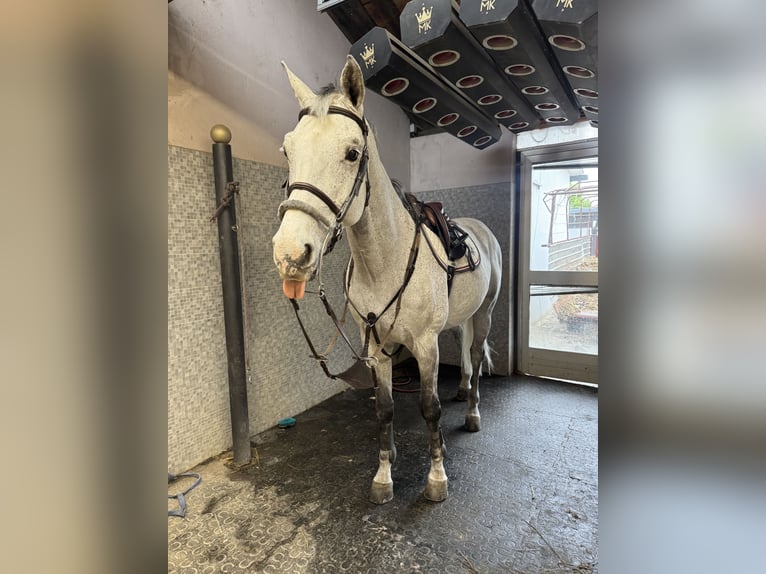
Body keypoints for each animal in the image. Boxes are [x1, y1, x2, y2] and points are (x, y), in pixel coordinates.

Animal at [272, 55, 502, 504]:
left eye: (351, 153)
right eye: (287, 150)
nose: (290, 254)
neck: (385, 263)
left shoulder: (425, 345)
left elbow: (429, 408)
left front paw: (436, 478)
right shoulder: (376, 346)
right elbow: (384, 408)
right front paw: (384, 473)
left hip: (484, 313)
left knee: (476, 351)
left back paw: (472, 412)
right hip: (458, 320)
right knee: (465, 350)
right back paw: (464, 391)